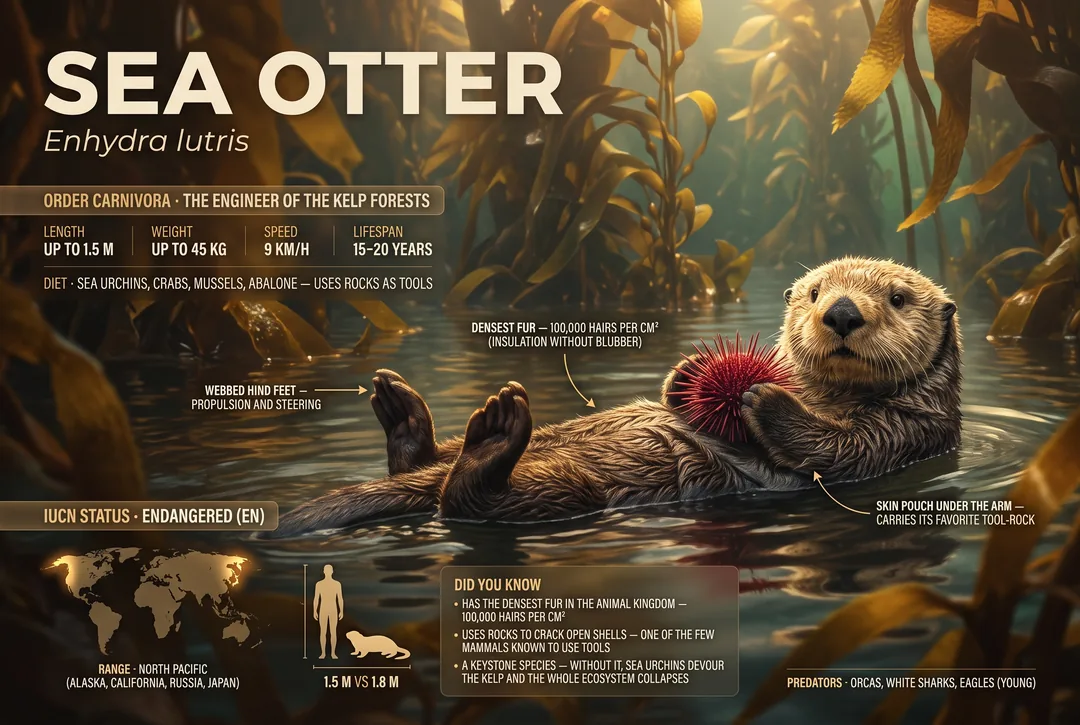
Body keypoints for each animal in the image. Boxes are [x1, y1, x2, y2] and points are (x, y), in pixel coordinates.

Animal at [268, 258, 961, 537]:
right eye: (815, 292)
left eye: (898, 297)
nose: (842, 312)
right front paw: (688, 371)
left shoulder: (911, 432)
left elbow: (838, 451)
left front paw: (763, 398)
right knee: (428, 471)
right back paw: (405, 411)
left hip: (565, 491)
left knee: (467, 501)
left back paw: (495, 430)